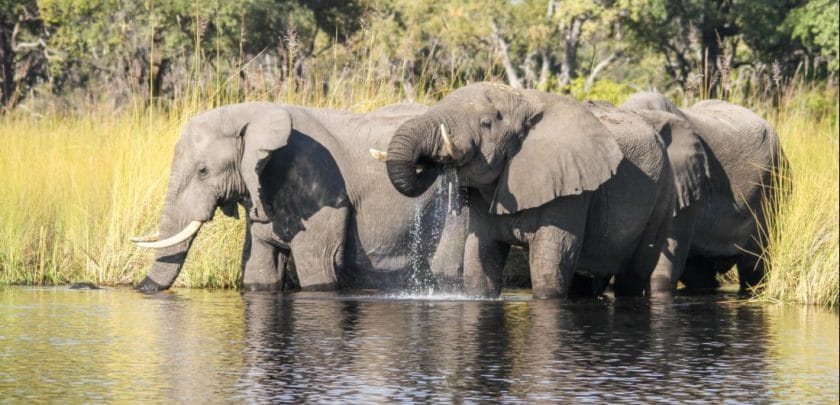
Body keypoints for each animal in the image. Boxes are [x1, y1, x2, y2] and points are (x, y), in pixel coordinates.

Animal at [374, 83, 676, 296]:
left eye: (486, 123)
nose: (434, 160)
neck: (525, 99)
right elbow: (480, 263)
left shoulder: (572, 187)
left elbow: (549, 268)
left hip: (663, 197)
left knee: (633, 277)